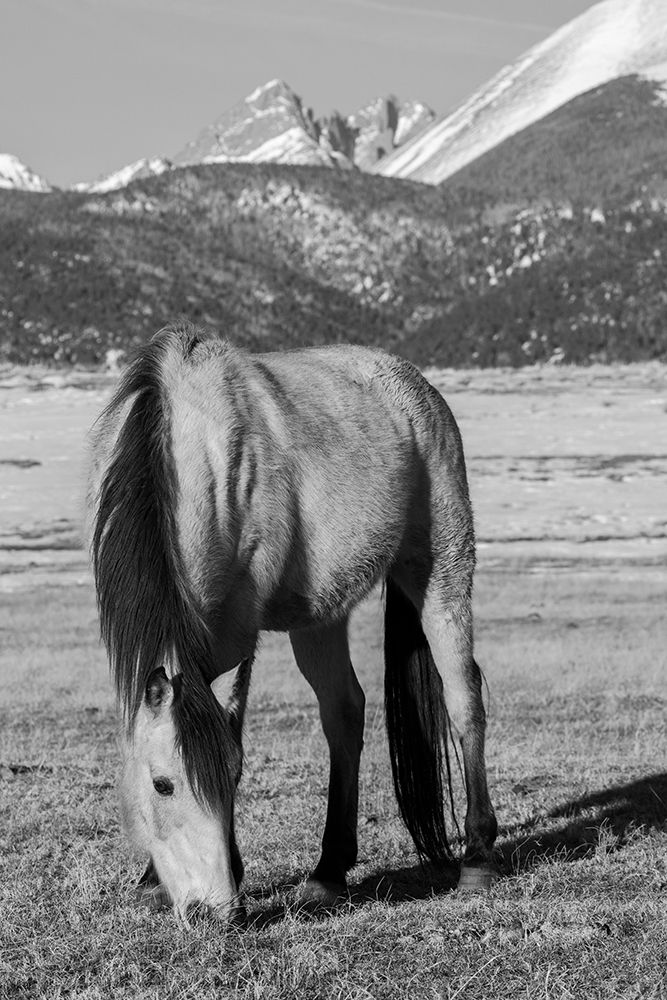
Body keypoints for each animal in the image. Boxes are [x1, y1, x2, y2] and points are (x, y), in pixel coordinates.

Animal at [87, 322, 496, 920]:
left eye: (231, 775)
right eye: (162, 784)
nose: (216, 912)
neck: (184, 447)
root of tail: (418, 387)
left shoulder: (237, 631)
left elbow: (232, 723)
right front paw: (151, 882)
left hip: (441, 570)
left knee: (463, 697)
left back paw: (478, 858)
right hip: (321, 616)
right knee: (345, 711)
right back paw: (328, 872)